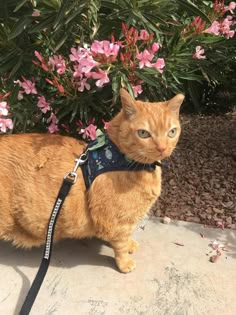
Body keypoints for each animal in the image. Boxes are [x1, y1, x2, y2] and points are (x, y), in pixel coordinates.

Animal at [0, 89, 184, 274]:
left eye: (172, 132)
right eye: (143, 133)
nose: (162, 148)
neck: (119, 158)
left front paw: (131, 245)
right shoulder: (116, 222)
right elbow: (120, 244)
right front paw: (125, 263)